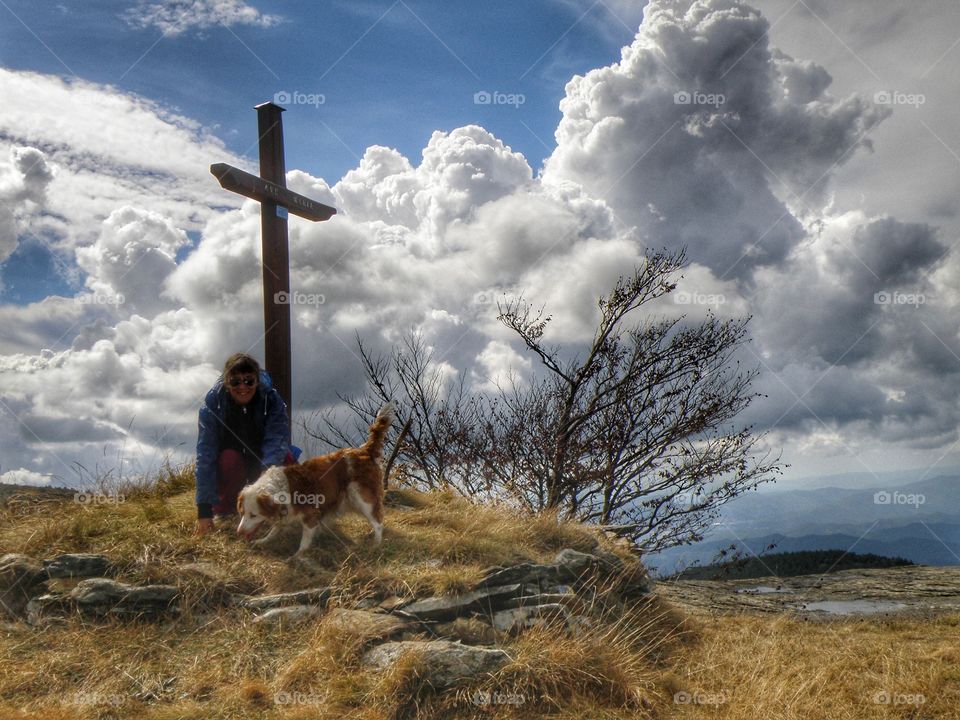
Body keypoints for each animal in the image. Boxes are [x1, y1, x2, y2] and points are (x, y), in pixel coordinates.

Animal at [237, 402, 394, 556]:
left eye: (253, 515)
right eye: (242, 513)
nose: (239, 532)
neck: (283, 489)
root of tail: (365, 450)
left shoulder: (311, 516)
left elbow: (304, 541)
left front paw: (298, 557)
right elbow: (275, 529)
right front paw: (263, 540)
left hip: (361, 497)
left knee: (378, 521)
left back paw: (376, 544)